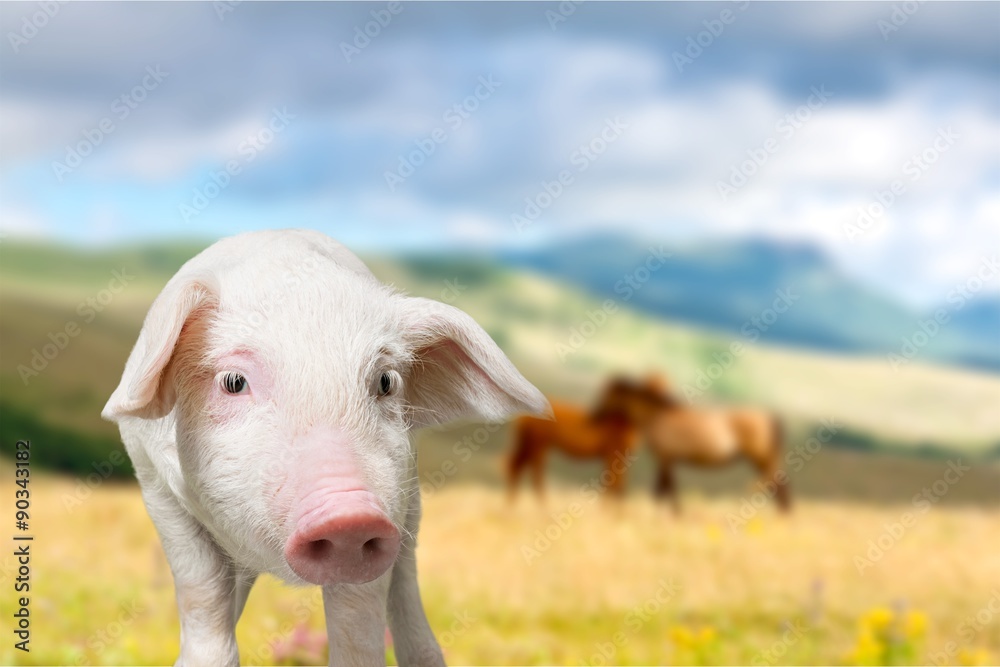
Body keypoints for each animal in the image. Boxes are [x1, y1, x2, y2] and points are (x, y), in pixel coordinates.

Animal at [102, 229, 549, 666]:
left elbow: (358, 621)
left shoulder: (391, 503)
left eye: (386, 381)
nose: (348, 515)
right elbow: (202, 592)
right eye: (232, 381)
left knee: (406, 581)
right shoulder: (154, 484)